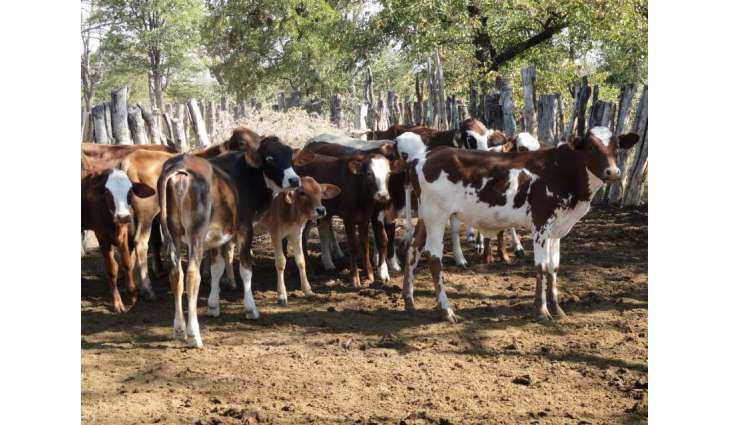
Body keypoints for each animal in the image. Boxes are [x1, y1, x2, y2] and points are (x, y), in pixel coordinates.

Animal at [81, 166, 156, 312]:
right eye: (107, 192)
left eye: (130, 191)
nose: (123, 216)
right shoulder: (102, 236)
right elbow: (112, 268)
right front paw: (117, 303)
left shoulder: (123, 233)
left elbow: (127, 262)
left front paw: (132, 294)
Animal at [157, 135, 311, 347]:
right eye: (270, 157)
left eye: (290, 155)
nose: (294, 180)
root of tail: (179, 165)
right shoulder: (245, 230)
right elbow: (245, 269)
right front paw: (251, 308)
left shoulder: (216, 236)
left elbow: (217, 267)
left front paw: (213, 305)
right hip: (195, 236)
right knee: (192, 276)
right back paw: (193, 334)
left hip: (173, 236)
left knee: (176, 274)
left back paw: (179, 329)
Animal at [295, 146, 406, 287]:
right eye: (369, 173)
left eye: (388, 174)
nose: (383, 195)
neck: (361, 195)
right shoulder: (349, 219)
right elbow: (354, 246)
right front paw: (355, 278)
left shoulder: (365, 219)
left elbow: (365, 245)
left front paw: (370, 275)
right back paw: (309, 269)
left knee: (309, 233)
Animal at [401, 126, 640, 323]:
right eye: (590, 147)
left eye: (616, 146)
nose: (613, 172)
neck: (562, 171)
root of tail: (423, 157)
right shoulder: (541, 225)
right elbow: (541, 267)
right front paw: (541, 311)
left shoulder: (557, 230)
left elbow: (554, 267)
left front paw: (557, 309)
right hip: (437, 216)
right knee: (434, 258)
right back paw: (446, 311)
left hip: (425, 216)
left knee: (413, 250)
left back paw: (409, 302)